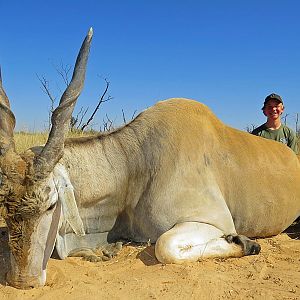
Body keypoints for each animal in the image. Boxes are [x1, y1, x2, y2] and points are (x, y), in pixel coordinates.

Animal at [1, 28, 300, 288]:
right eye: (6, 206)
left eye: (51, 205)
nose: (23, 281)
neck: (135, 164)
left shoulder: (214, 221)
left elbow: (165, 247)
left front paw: (245, 243)